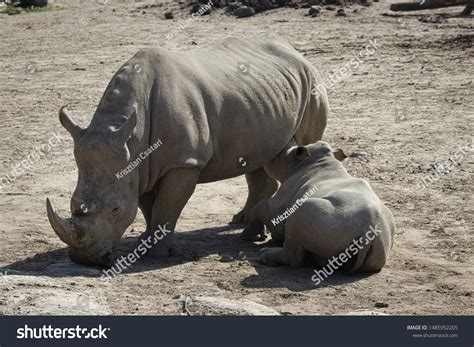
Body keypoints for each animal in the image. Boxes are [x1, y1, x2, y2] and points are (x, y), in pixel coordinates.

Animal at [46, 36, 328, 266]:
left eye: (115, 209)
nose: (85, 259)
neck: (131, 138)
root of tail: (296, 52)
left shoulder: (182, 162)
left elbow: (167, 205)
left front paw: (158, 254)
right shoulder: (142, 166)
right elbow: (147, 206)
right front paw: (145, 241)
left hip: (311, 85)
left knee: (299, 149)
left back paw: (250, 234)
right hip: (261, 99)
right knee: (258, 155)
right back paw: (243, 224)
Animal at [243, 140, 394, 274]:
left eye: (277, 159)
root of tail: (367, 229)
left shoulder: (280, 203)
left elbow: (261, 207)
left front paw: (251, 236)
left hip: (327, 220)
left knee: (299, 218)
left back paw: (265, 255)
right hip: (379, 237)